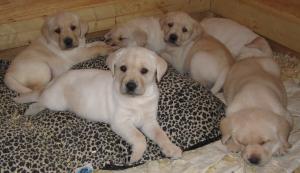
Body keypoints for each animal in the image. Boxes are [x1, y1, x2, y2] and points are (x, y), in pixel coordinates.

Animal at [14, 47, 182, 164]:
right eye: (123, 68)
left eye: (144, 71)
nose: (130, 85)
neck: (137, 100)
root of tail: (54, 80)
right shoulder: (120, 122)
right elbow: (139, 137)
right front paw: (136, 155)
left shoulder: (149, 121)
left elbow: (161, 134)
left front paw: (171, 148)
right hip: (57, 102)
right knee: (41, 98)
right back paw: (31, 108)